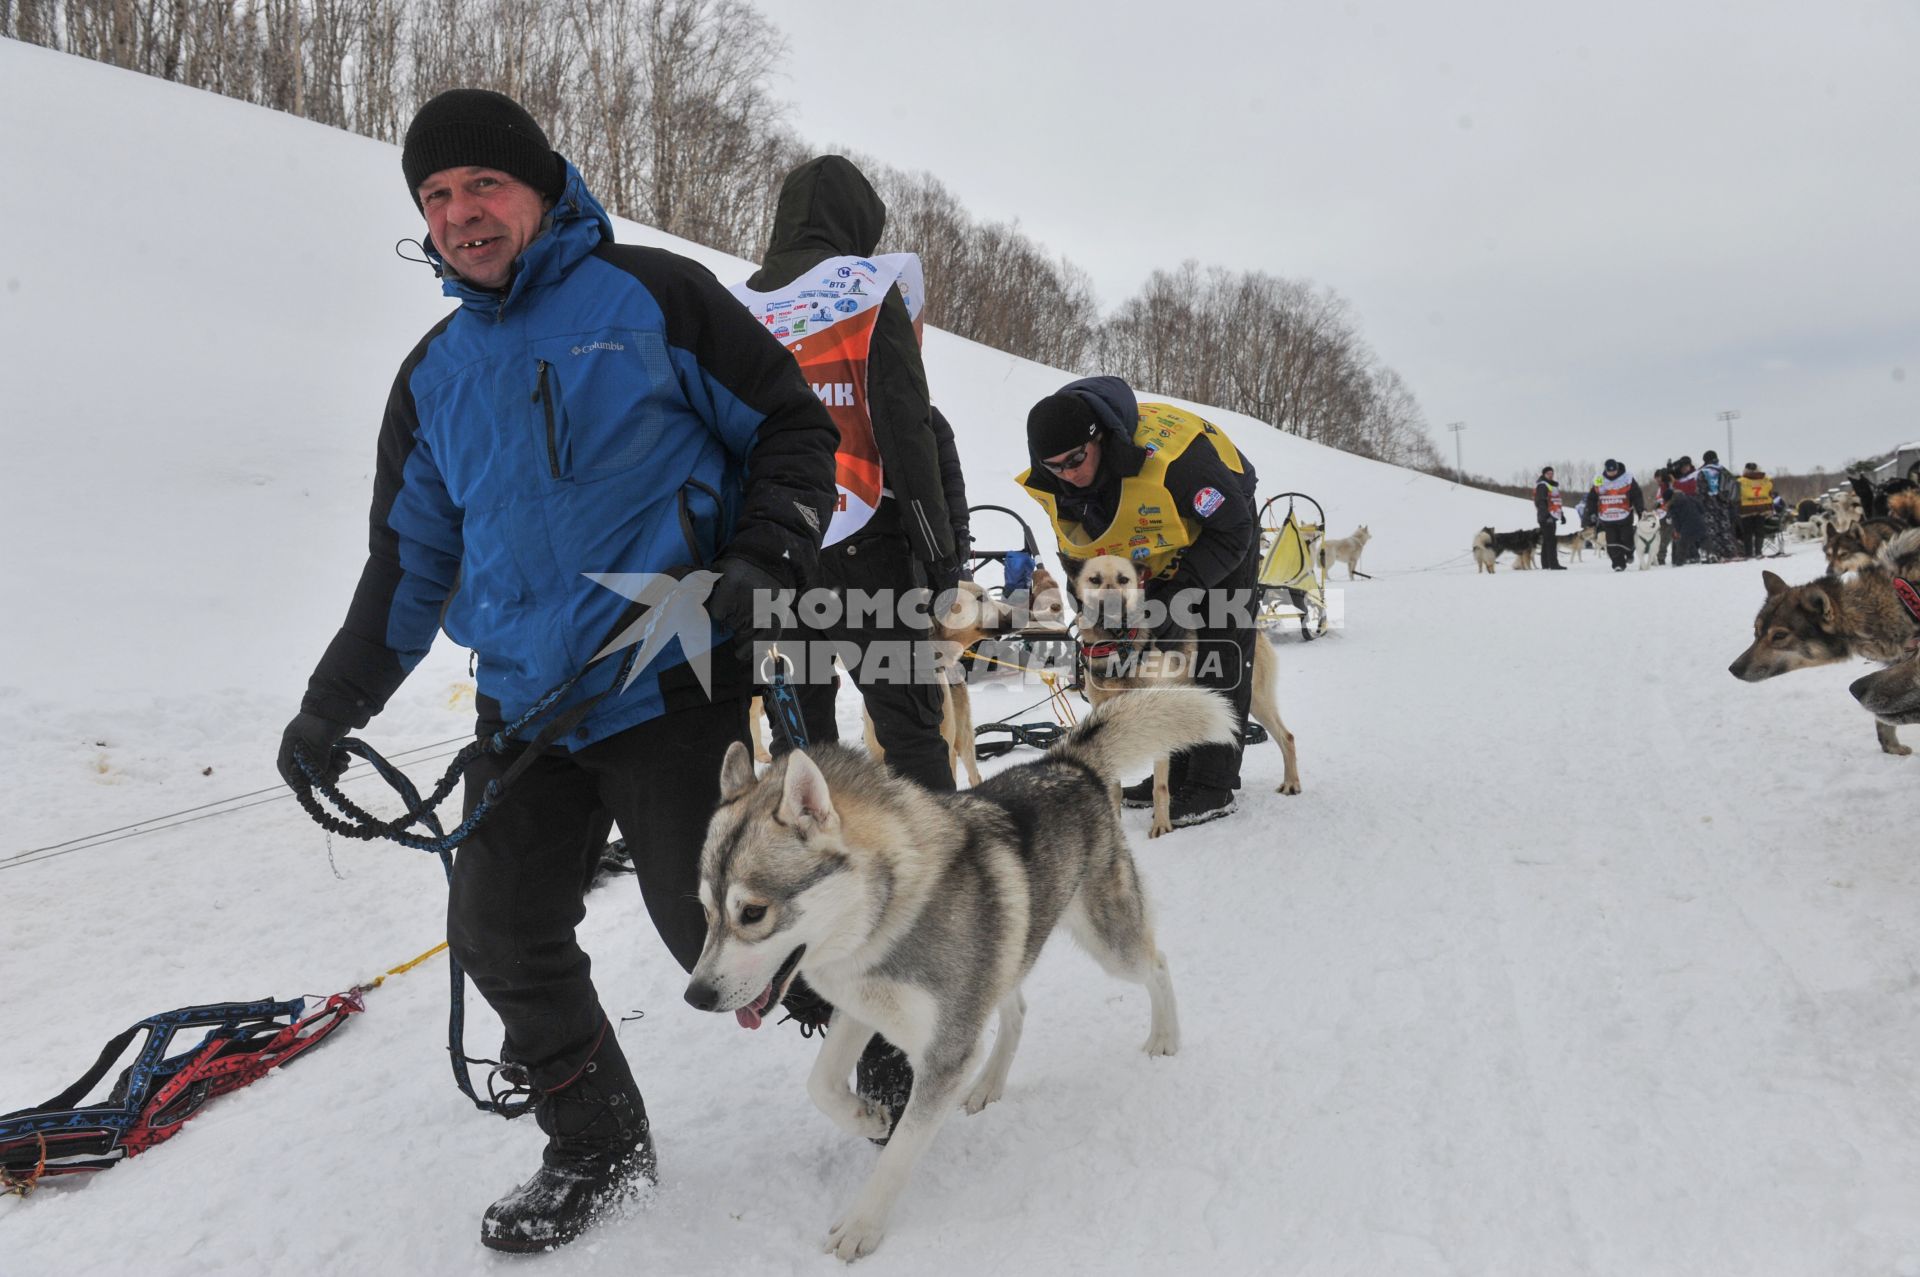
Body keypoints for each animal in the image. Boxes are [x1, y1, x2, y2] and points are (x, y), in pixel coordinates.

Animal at [691, 683, 1228, 1259]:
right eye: (706, 911)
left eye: (752, 913)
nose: (695, 996)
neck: (884, 918)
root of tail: (1066, 762)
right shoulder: (859, 1009)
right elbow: (820, 1084)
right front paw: (865, 1116)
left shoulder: (945, 1051)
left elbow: (899, 1152)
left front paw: (862, 1225)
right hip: (1007, 956)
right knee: (1017, 1009)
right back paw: (989, 1082)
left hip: (1110, 943)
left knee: (1156, 964)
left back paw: (1164, 1037)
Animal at [1067, 549, 1305, 837]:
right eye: (1095, 579)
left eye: (1124, 579)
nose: (1113, 603)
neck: (1118, 646)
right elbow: (1114, 787)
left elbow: (1160, 787)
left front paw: (1161, 825)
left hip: (1255, 701)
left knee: (1287, 737)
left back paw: (1291, 783)